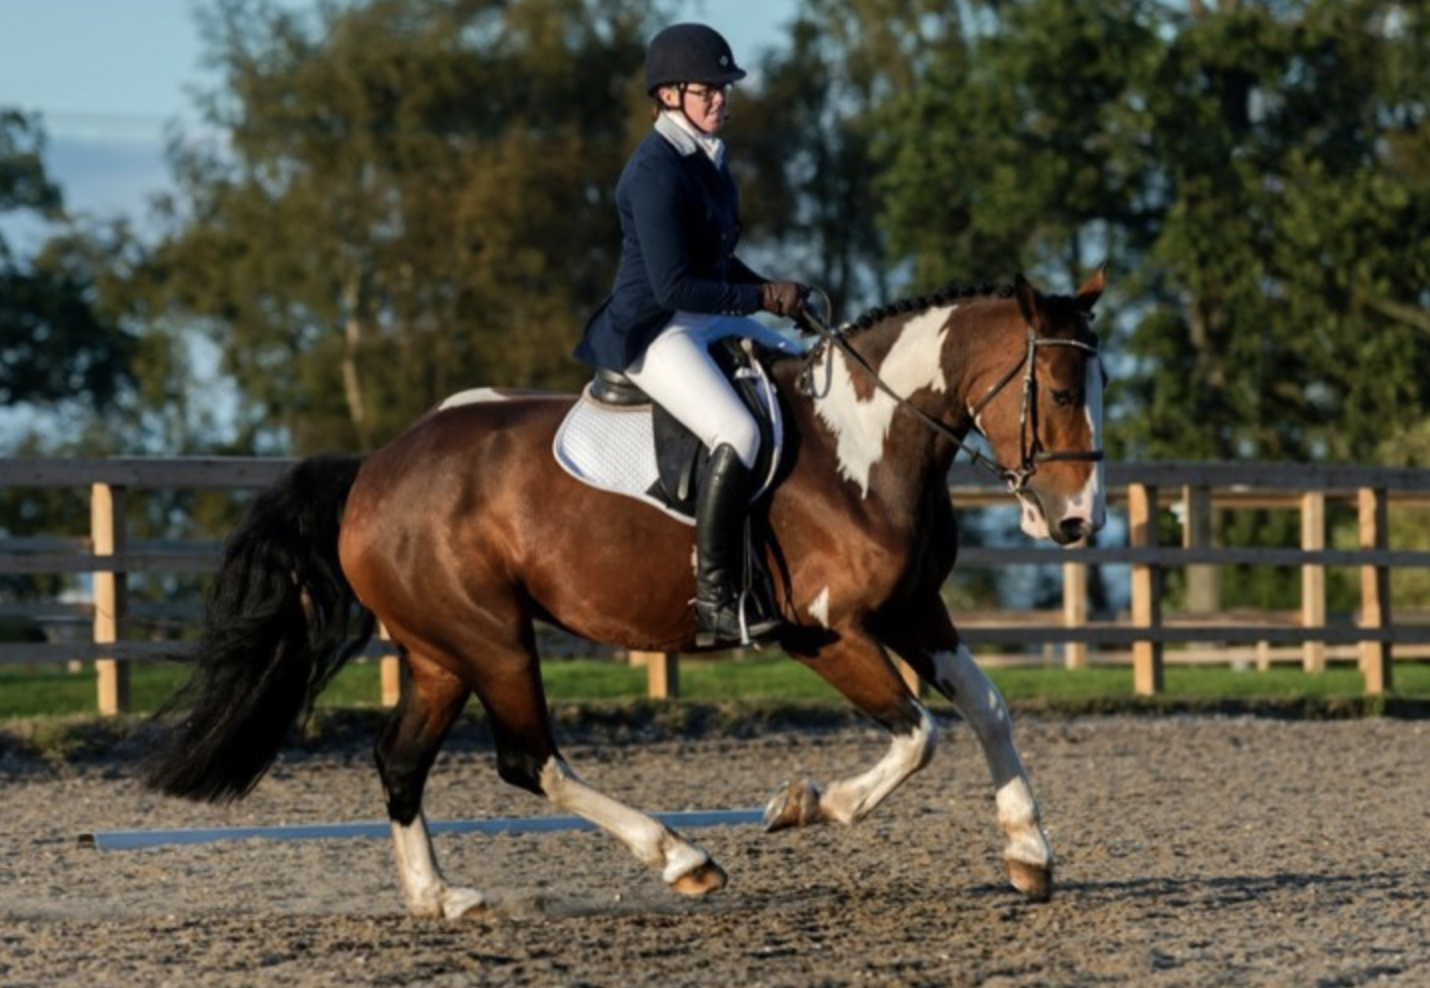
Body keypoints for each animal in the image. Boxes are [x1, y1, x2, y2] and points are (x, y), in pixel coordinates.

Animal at [143, 269, 1107, 919]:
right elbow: (918, 735)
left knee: (400, 760)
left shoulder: (912, 610)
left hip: (439, 652)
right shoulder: (827, 634)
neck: (865, 442)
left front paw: (1029, 851)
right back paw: (681, 858)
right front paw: (804, 806)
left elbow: (986, 709)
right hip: (492, 638)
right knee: (529, 761)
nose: (1076, 521)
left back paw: (439, 898)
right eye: (1061, 390)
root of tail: (375, 467)